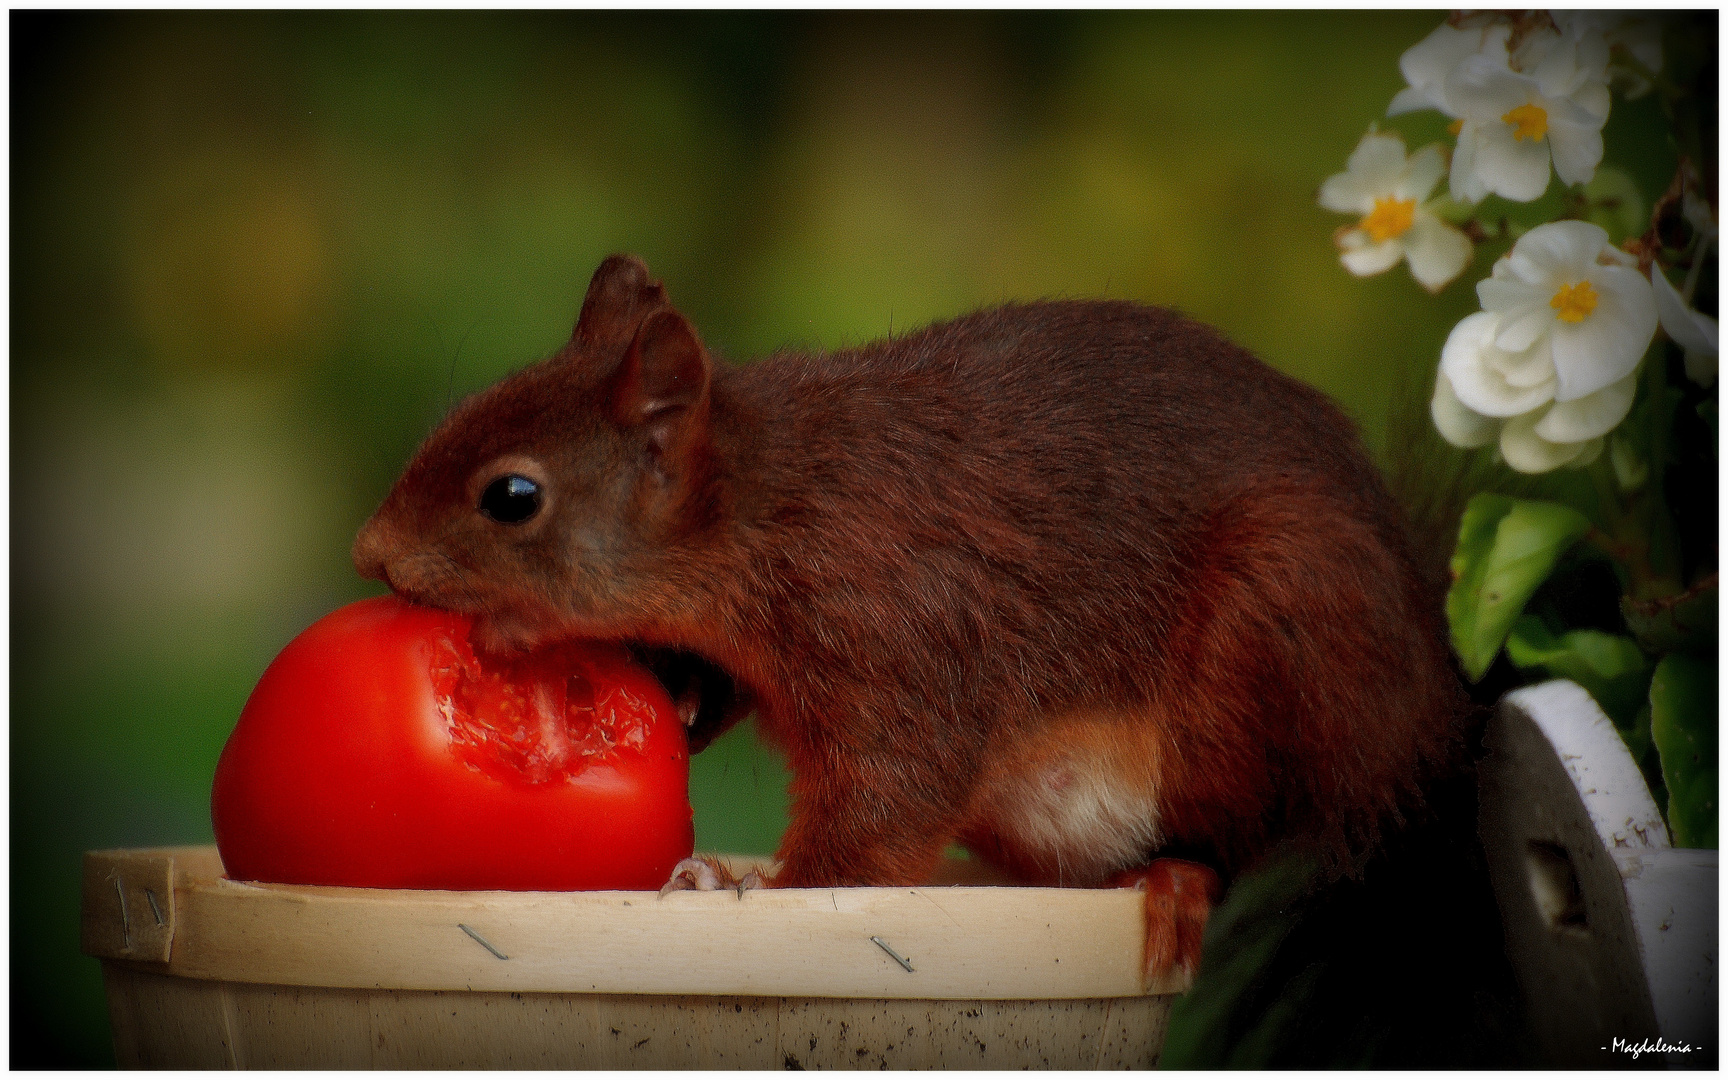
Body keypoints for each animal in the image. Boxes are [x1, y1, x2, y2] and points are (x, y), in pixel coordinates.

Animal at [354, 252, 1472, 974]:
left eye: (512, 497)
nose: (370, 555)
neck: (772, 505)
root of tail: (1424, 732)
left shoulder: (898, 624)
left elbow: (883, 811)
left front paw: (755, 887)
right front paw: (678, 696)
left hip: (1277, 629)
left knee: (1242, 836)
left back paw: (1174, 881)